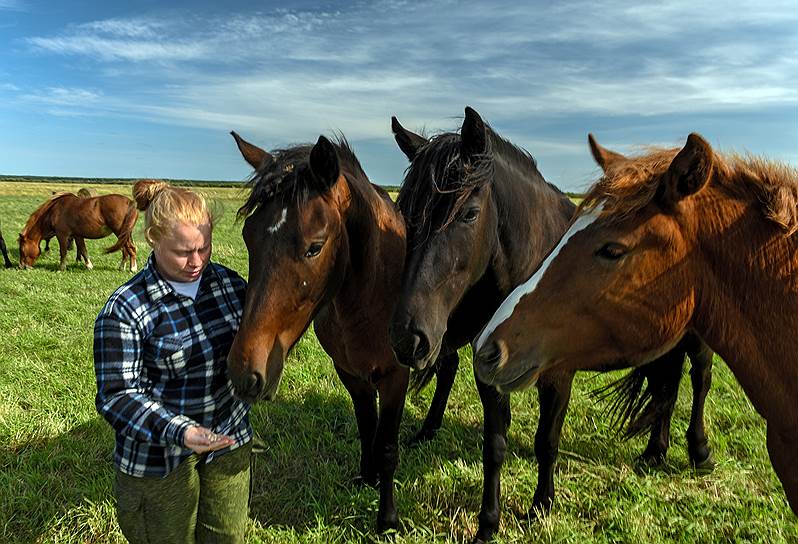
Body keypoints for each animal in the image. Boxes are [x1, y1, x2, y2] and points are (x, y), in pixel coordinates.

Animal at [227, 131, 410, 532]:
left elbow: (388, 446)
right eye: (249, 237)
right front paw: (367, 479)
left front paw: (386, 518)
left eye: (314, 246)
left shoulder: (396, 376)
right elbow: (366, 427)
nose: (243, 373)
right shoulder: (351, 373)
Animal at [390, 108, 716, 540]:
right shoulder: (489, 368)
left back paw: (699, 451)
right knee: (668, 380)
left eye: (469, 214)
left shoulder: (558, 374)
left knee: (699, 377)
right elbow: (494, 444)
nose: (408, 339)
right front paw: (488, 523)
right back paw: (654, 451)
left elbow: (547, 439)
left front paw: (540, 506)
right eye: (404, 212)